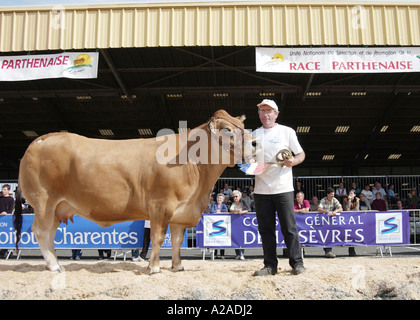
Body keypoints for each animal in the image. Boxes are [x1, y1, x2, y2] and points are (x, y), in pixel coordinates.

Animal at [13, 109, 256, 272]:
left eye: (241, 125)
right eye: (227, 130)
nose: (255, 142)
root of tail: (44, 138)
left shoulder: (182, 211)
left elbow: (177, 241)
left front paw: (177, 266)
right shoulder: (160, 205)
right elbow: (158, 237)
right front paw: (154, 267)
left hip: (57, 208)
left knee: (49, 234)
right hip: (43, 203)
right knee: (41, 232)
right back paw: (54, 266)